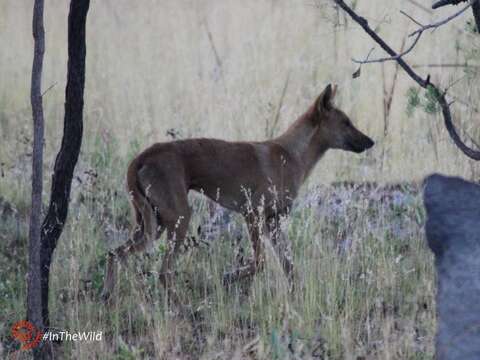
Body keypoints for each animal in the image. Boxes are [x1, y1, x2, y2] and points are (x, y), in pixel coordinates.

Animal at [102, 85, 376, 300]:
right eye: (346, 123)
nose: (371, 141)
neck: (291, 155)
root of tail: (142, 156)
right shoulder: (252, 215)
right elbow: (260, 262)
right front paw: (228, 277)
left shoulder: (274, 223)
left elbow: (289, 267)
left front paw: (295, 296)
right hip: (178, 219)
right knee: (163, 273)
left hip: (153, 224)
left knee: (114, 254)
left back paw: (109, 297)